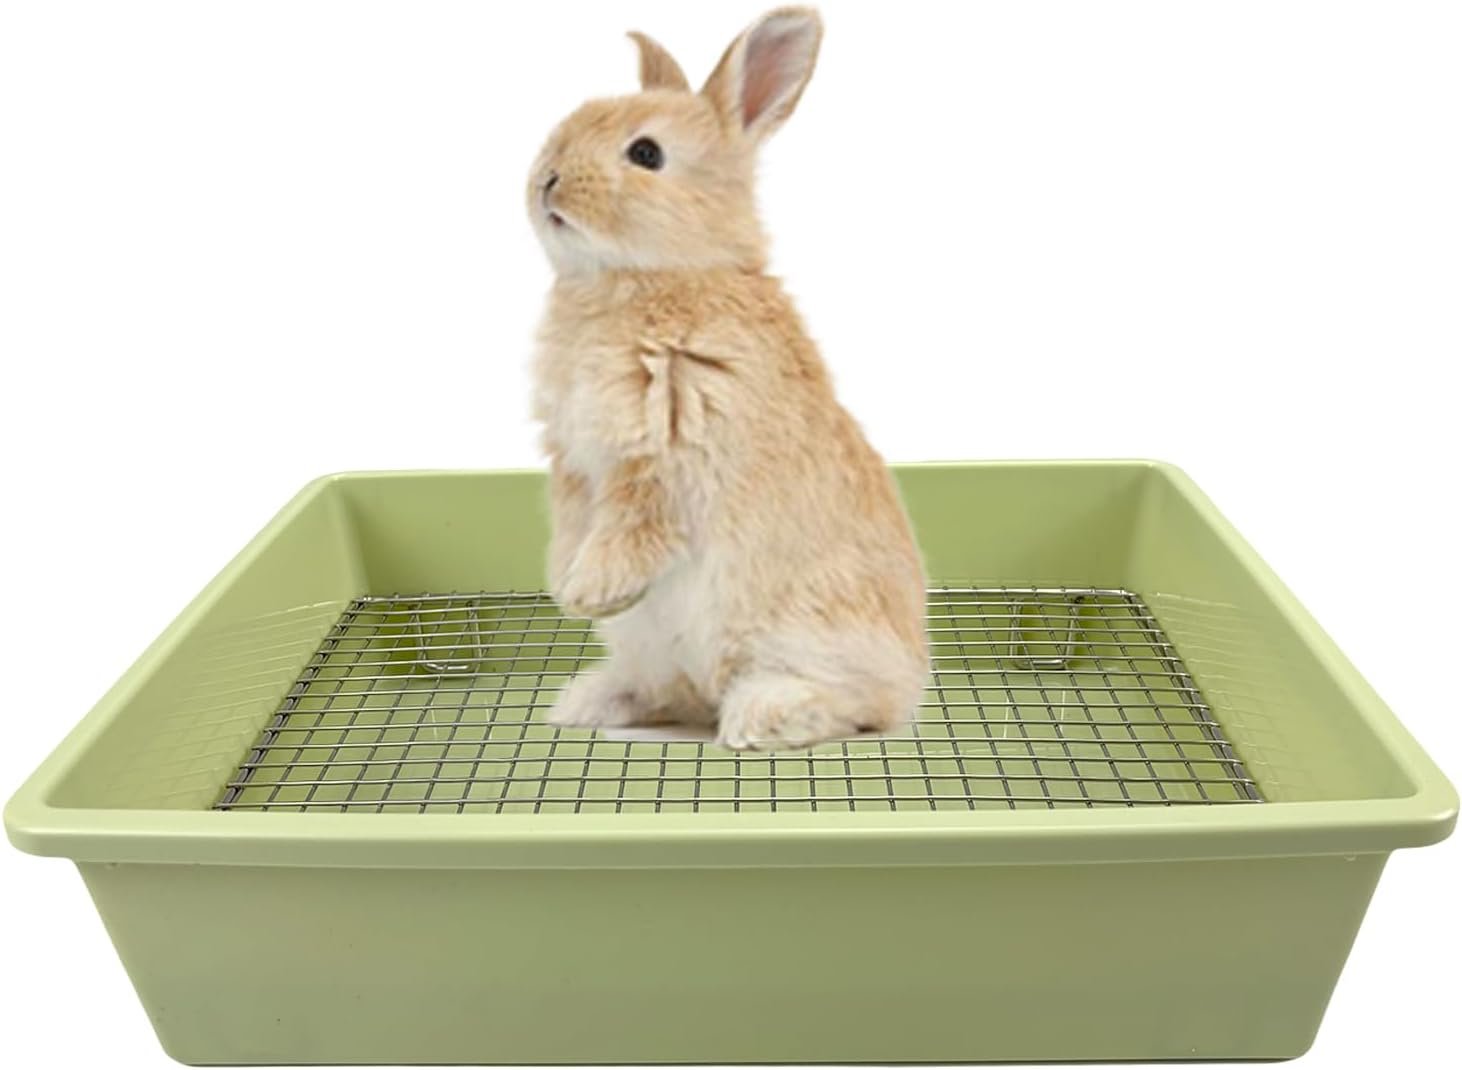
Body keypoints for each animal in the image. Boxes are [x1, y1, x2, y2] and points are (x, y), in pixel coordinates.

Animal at [528, 6, 929, 751]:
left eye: (646, 154)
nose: (547, 179)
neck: (657, 275)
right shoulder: (573, 462)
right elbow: (574, 526)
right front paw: (566, 586)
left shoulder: (664, 452)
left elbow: (632, 528)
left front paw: (589, 592)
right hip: (656, 656)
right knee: (667, 694)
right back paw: (586, 701)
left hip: (811, 632)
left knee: (858, 706)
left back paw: (760, 715)